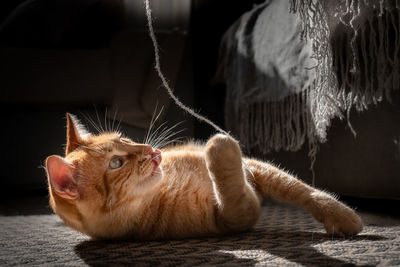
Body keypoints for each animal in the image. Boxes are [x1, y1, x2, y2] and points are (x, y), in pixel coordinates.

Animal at [45, 113, 364, 241]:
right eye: (115, 163)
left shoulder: (255, 167)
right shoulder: (235, 215)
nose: (150, 149)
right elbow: (231, 189)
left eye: (124, 138)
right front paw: (219, 147)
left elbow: (299, 189)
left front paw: (340, 215)